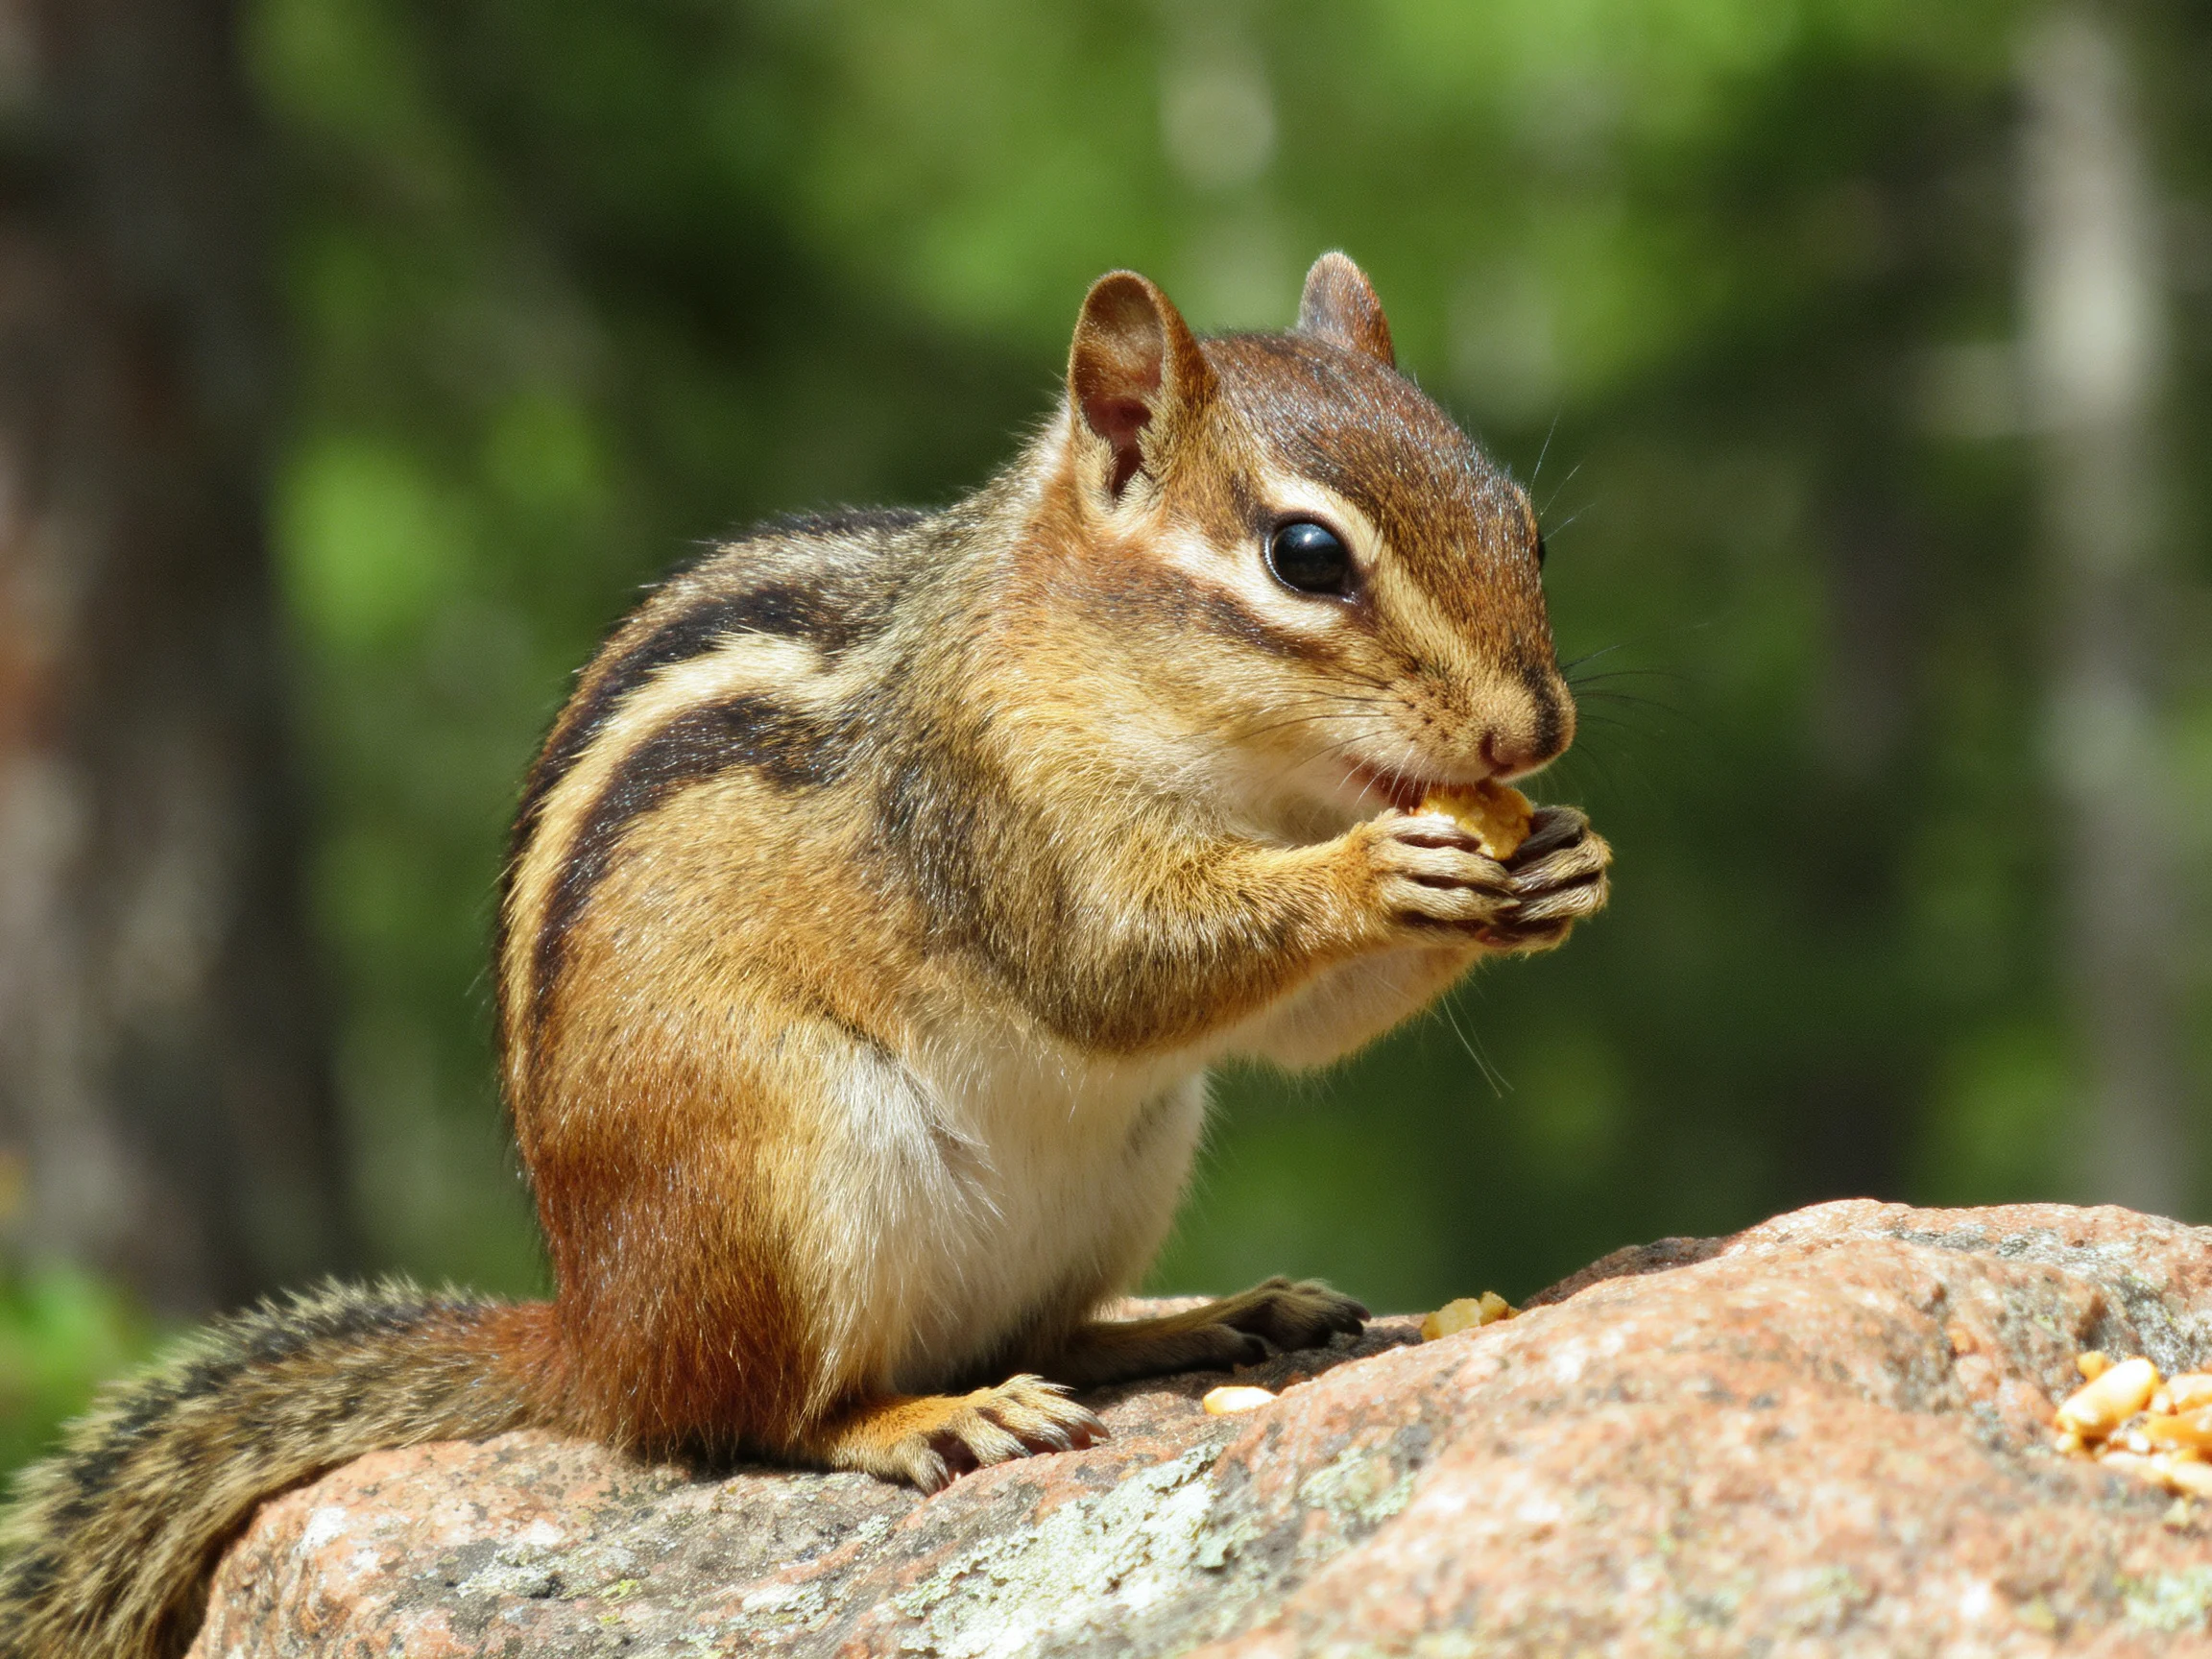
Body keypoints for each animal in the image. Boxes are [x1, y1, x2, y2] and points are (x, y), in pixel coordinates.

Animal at [0, 252, 1608, 1658]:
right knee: (764, 1416)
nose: (1534, 732)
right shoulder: (985, 812)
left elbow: (1297, 1032)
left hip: (1123, 1169)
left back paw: (1207, 1322)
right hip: (784, 1164)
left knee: (1046, 1329)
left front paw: (1561, 860)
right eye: (1308, 556)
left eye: (1525, 526)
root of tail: (592, 1335)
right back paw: (928, 1418)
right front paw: (1380, 870)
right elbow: (1115, 965)